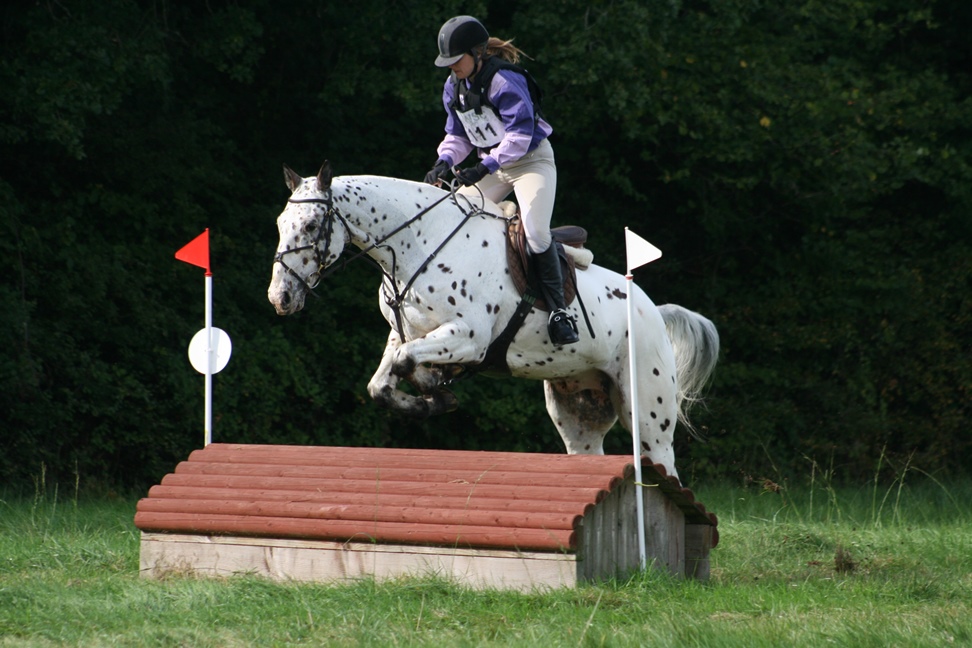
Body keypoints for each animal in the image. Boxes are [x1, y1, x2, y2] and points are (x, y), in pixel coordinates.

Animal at [267, 162, 719, 481]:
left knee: (664, 464)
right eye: (280, 225)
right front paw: (432, 394)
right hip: (577, 411)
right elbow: (382, 381)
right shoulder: (403, 333)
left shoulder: (468, 337)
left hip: (647, 415)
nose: (280, 298)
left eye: (311, 225)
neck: (418, 244)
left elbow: (407, 363)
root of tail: (653, 311)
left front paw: (436, 393)